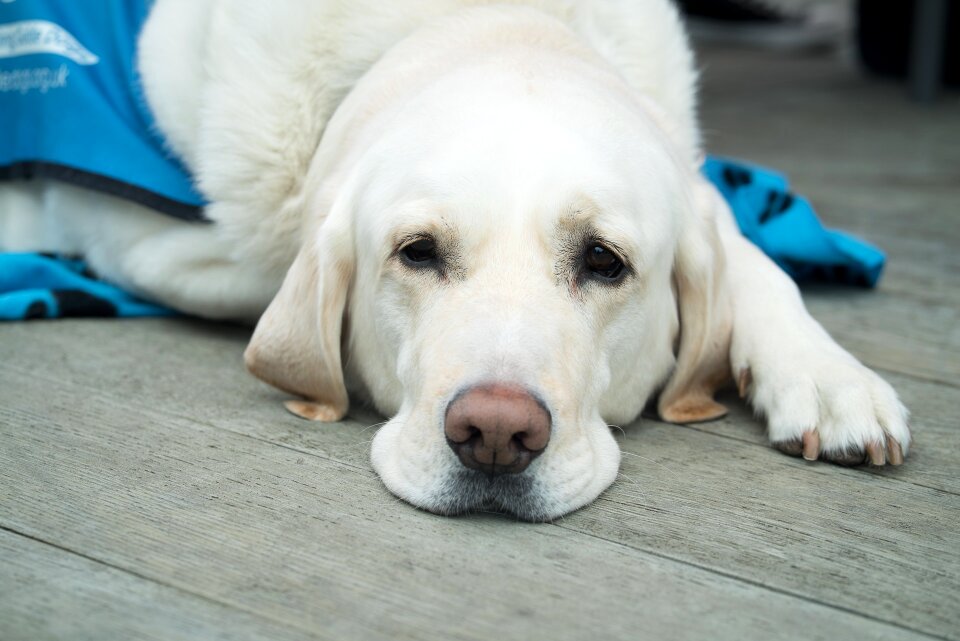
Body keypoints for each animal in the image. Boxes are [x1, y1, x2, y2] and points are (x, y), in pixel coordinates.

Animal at [1, 0, 908, 520]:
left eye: (605, 261)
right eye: (417, 252)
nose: (496, 433)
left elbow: (753, 261)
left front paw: (829, 377)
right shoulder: (153, 239)